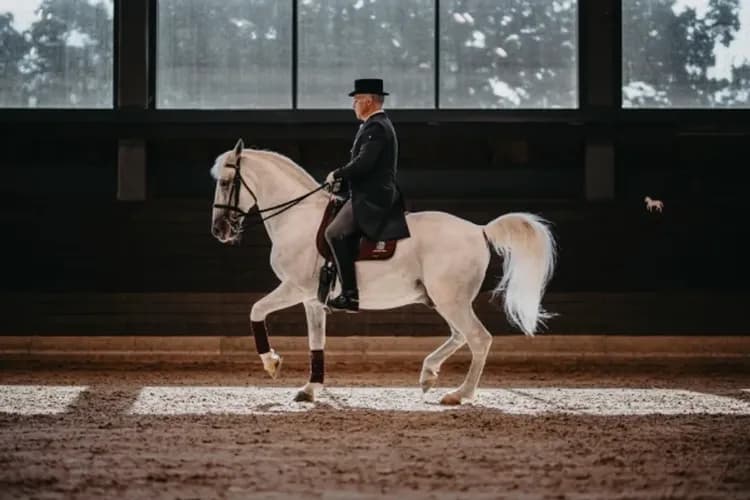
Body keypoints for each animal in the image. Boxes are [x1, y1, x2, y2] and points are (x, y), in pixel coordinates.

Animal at [210, 139, 557, 405]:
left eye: (226, 183)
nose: (219, 230)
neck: (297, 218)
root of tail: (479, 230)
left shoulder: (295, 288)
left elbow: (256, 310)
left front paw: (271, 363)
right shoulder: (312, 299)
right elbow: (316, 343)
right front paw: (310, 389)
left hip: (451, 301)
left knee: (478, 339)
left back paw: (459, 394)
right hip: (446, 300)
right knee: (460, 336)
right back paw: (428, 375)